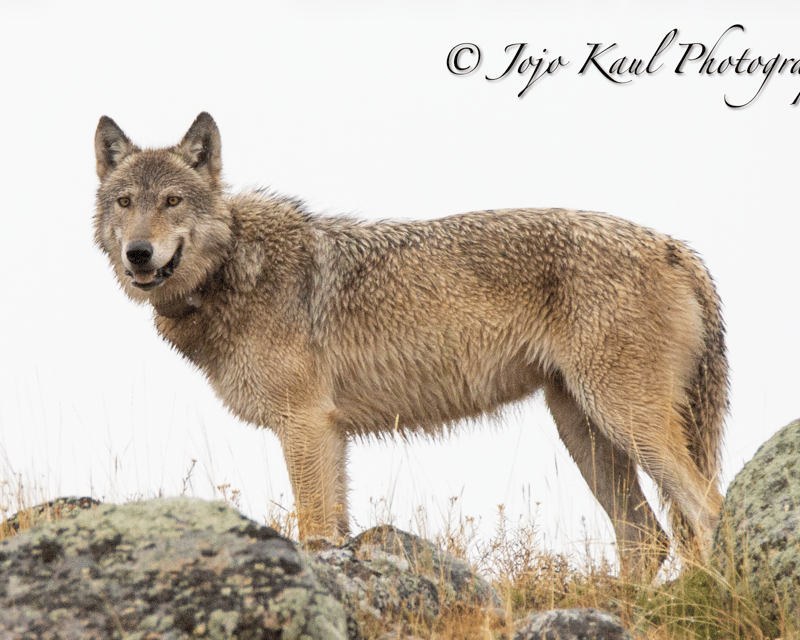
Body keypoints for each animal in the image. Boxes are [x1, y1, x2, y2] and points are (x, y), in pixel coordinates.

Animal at [94, 112, 728, 574]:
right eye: (125, 203)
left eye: (172, 201)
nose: (139, 254)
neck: (233, 269)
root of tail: (678, 249)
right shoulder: (328, 432)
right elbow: (334, 529)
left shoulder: (305, 424)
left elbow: (315, 531)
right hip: (584, 429)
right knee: (646, 537)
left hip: (624, 421)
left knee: (706, 512)